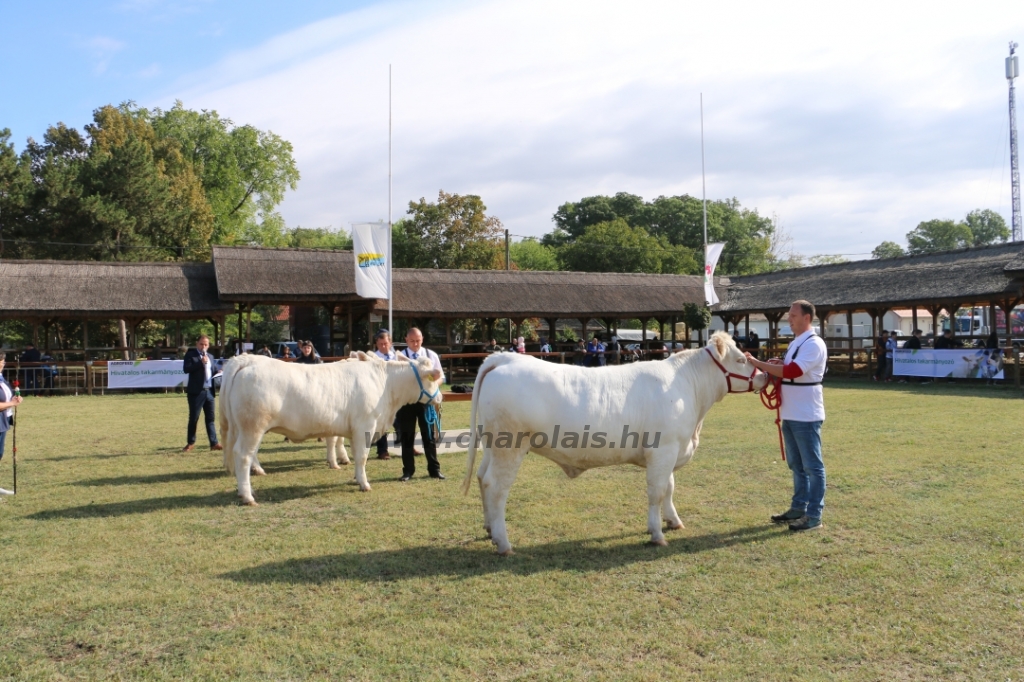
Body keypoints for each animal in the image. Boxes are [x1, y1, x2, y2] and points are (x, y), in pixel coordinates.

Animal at [218, 350, 442, 499]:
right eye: (434, 380)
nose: (440, 398)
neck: (385, 385)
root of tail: (246, 360)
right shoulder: (365, 426)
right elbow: (361, 456)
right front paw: (364, 484)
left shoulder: (350, 428)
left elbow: (351, 453)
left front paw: (355, 477)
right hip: (253, 426)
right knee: (243, 455)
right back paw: (248, 496)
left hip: (242, 427)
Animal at [466, 329, 770, 552]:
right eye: (741, 360)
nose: (765, 374)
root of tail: (505, 359)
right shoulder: (664, 449)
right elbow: (657, 491)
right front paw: (657, 533)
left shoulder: (670, 451)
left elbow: (669, 488)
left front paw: (673, 521)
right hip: (511, 446)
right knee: (496, 487)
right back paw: (504, 543)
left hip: (492, 444)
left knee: (482, 477)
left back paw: (489, 529)